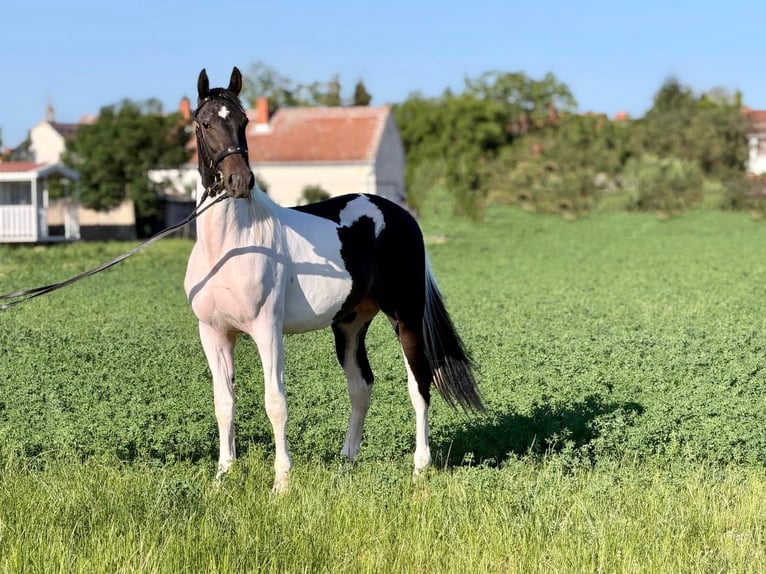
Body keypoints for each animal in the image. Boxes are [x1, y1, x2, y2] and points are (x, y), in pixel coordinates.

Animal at [184, 67, 483, 493]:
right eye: (205, 123)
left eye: (243, 122)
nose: (239, 181)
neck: (232, 246)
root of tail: (402, 216)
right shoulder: (213, 332)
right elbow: (223, 404)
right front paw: (222, 478)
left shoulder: (266, 330)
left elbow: (275, 403)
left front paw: (281, 484)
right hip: (350, 325)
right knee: (361, 388)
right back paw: (346, 465)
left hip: (405, 317)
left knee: (419, 385)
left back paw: (419, 468)